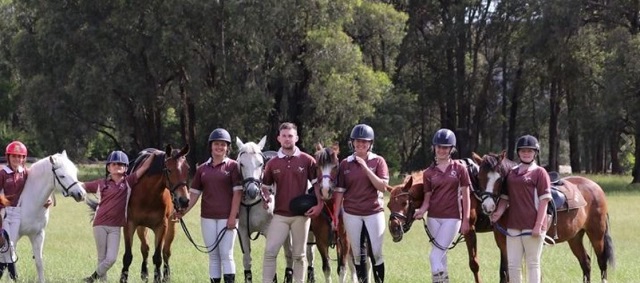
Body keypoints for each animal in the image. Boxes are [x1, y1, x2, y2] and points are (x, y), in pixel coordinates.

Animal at [12, 152, 87, 282]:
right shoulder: (13, 236)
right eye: (62, 176)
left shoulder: (38, 235)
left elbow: (39, 262)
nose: (81, 194)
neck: (29, 202)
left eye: (75, 172)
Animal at [120, 146, 190, 283]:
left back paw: (166, 275)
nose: (184, 200)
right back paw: (145, 273)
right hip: (141, 227)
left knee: (166, 252)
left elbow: (158, 257)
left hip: (171, 226)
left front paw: (158, 277)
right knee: (145, 248)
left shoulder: (161, 227)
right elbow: (128, 256)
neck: (148, 192)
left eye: (187, 169)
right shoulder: (130, 224)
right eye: (169, 170)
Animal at [236, 136, 294, 282]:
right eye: (241, 164)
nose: (253, 191)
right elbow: (247, 260)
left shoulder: (270, 231)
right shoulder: (243, 231)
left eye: (260, 164)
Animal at [308, 144, 358, 283]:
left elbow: (342, 268)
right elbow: (327, 268)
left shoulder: (345, 241)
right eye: (317, 166)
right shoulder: (321, 241)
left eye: (335, 165)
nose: (325, 190)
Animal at [472, 152, 616, 282]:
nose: (488, 206)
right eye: (479, 177)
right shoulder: (504, 244)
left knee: (602, 262)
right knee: (585, 262)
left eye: (500, 179)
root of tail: (595, 187)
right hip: (575, 237)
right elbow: (504, 274)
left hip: (597, 234)